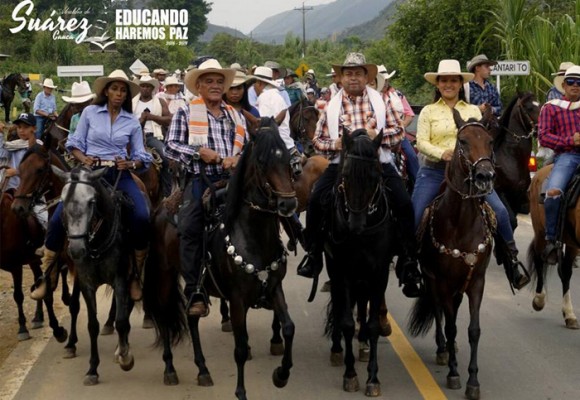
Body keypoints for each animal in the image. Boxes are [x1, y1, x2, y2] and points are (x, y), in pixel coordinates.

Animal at [324, 129, 396, 396]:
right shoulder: (343, 271)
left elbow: (373, 323)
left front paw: (373, 378)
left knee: (362, 304)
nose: (355, 227)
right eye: (345, 175)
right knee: (338, 302)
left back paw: (363, 344)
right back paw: (336, 349)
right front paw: (350, 374)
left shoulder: (378, 273)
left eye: (375, 176)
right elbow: (345, 321)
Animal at [408, 110, 494, 400]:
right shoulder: (443, 282)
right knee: (439, 313)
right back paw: (443, 349)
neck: (461, 223)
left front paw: (473, 381)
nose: (485, 176)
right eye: (463, 142)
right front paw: (455, 374)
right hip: (433, 281)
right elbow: (451, 326)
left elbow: (473, 330)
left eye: (490, 141)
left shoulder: (477, 282)